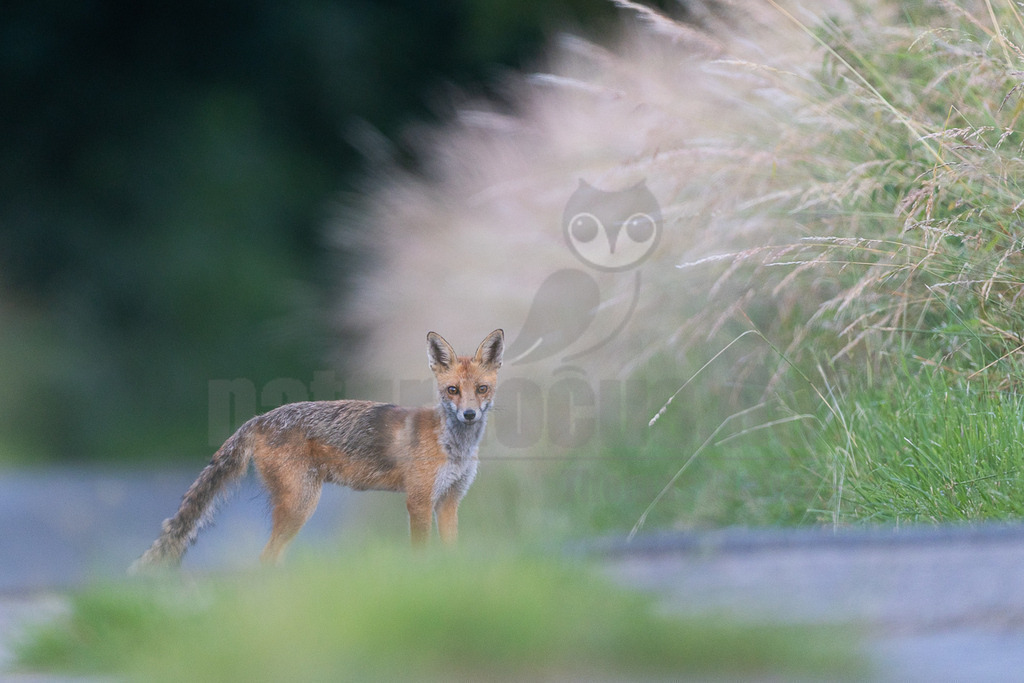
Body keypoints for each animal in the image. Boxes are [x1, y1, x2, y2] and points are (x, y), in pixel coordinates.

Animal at [129, 329, 504, 572]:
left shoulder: (449, 502)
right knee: (266, 558)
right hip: (301, 504)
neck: (454, 447)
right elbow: (421, 554)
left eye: (481, 389)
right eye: (452, 390)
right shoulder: (419, 501)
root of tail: (258, 419)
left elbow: (451, 554)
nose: (469, 415)